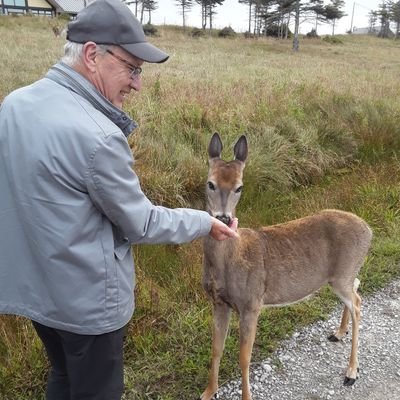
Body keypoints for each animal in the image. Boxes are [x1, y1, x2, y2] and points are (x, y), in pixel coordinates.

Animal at [202, 134, 374, 400]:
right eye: (210, 183)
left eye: (239, 187)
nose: (223, 219)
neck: (228, 261)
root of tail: (369, 230)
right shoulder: (219, 302)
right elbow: (216, 349)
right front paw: (208, 392)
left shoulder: (251, 303)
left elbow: (244, 359)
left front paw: (246, 396)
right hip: (341, 276)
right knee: (356, 289)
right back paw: (338, 333)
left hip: (344, 272)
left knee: (357, 303)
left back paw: (351, 372)